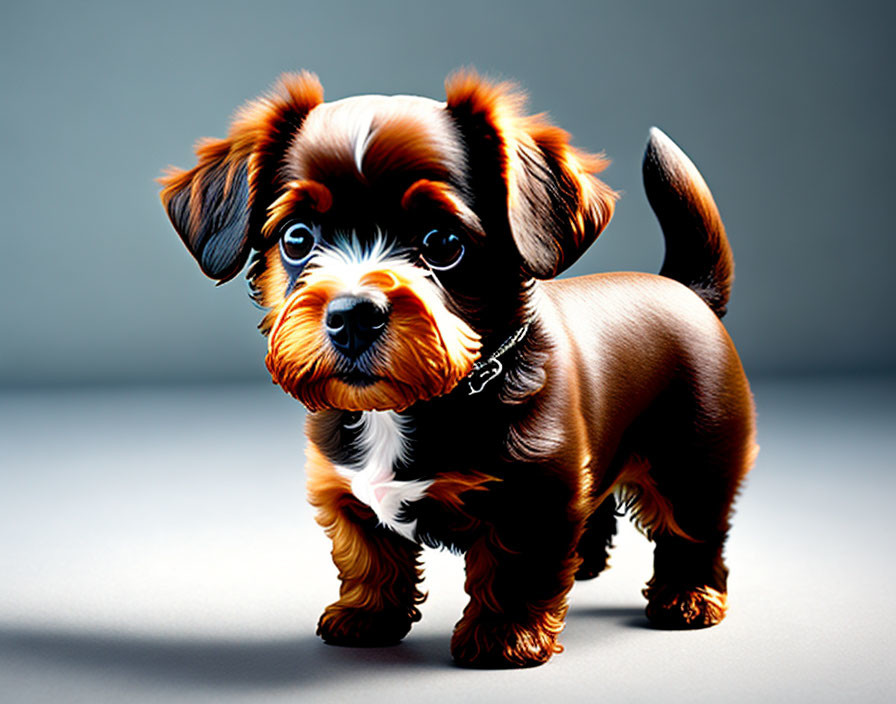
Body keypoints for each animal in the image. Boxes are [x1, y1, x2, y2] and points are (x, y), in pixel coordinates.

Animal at [159, 73, 756, 672]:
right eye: (297, 238)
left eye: (442, 243)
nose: (352, 316)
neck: (412, 405)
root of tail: (686, 289)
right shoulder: (345, 490)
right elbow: (368, 557)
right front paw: (367, 616)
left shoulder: (534, 489)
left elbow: (515, 567)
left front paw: (504, 636)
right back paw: (586, 563)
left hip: (695, 455)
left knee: (693, 527)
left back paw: (688, 597)